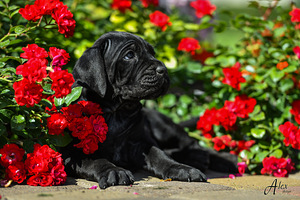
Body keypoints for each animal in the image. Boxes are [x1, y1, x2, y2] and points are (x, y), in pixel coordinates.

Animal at [62, 31, 237, 189]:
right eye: (129, 55)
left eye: (152, 53)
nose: (163, 69)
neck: (117, 111)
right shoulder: (72, 154)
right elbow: (95, 161)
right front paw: (113, 171)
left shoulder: (141, 143)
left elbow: (159, 155)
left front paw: (181, 169)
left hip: (164, 127)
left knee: (192, 143)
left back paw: (220, 159)